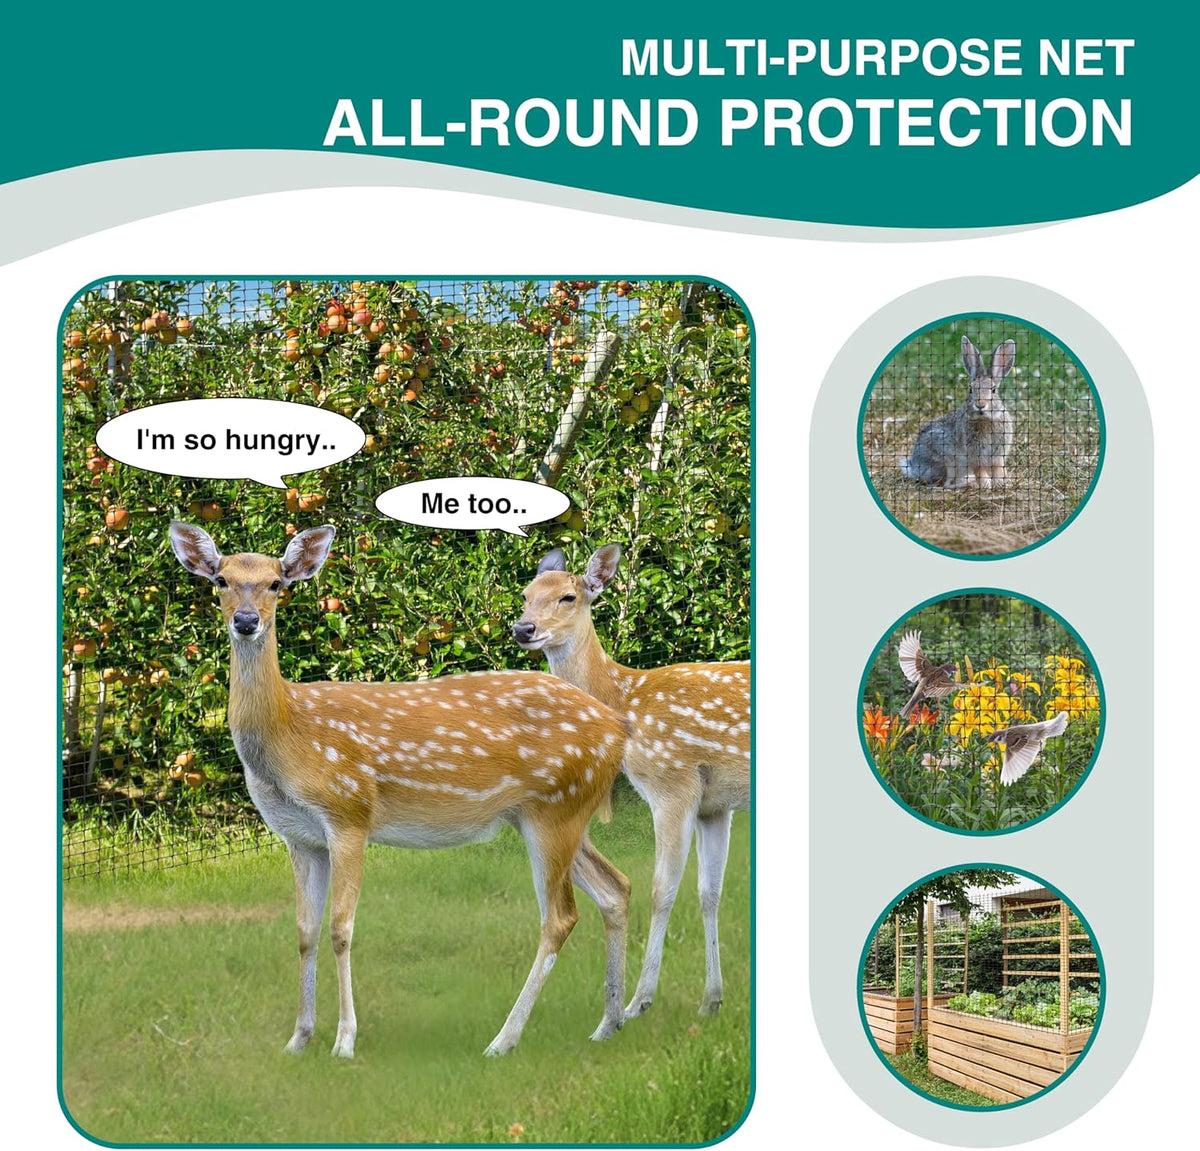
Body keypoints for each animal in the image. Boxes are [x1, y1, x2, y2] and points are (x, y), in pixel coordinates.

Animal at [169, 521, 633, 1058]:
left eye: (276, 584)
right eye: (220, 580)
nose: (246, 621)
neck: (289, 736)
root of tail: (618, 727)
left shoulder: (349, 812)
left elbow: (340, 928)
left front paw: (344, 1041)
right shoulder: (298, 836)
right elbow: (304, 930)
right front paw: (298, 1038)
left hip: (556, 808)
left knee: (560, 917)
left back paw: (504, 1040)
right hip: (551, 813)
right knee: (615, 887)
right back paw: (609, 1022)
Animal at [513, 544, 749, 1021]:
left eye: (569, 597)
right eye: (526, 594)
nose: (522, 628)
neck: (625, 702)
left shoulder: (671, 782)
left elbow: (662, 890)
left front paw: (637, 1002)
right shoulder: (715, 803)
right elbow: (709, 892)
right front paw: (711, 1000)